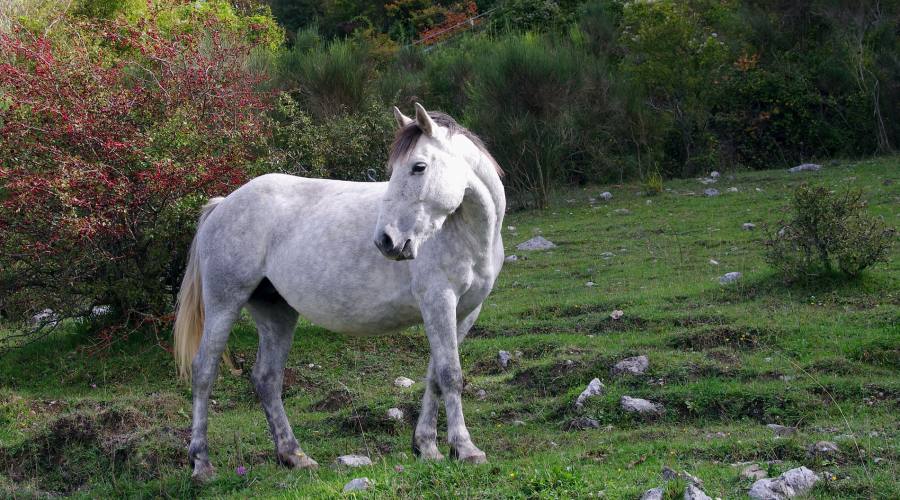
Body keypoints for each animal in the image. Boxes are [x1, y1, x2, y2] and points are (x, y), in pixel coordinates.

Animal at [171, 102, 506, 480]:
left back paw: (294, 455)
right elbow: (450, 375)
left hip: (276, 312)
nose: (386, 240)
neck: (468, 234)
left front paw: (427, 447)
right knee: (204, 372)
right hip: (224, 304)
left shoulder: (464, 311)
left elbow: (436, 375)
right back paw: (201, 463)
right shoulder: (438, 302)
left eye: (418, 167)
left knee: (267, 379)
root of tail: (223, 204)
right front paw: (466, 449)